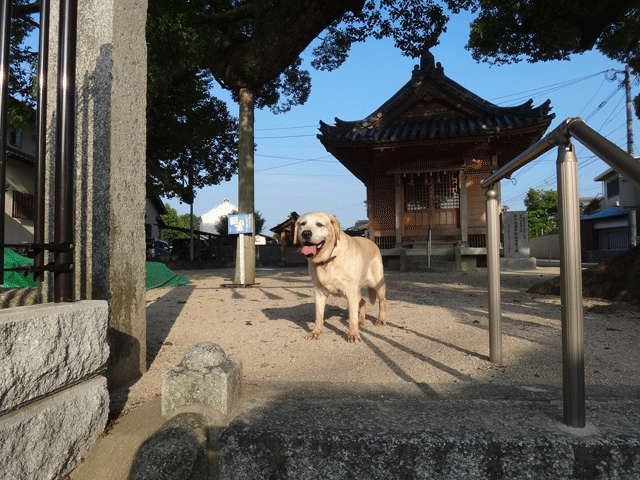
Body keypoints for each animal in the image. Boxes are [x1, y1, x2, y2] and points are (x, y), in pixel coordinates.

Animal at [294, 212, 388, 344]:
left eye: (319, 224)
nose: (306, 233)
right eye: (302, 224)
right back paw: (361, 320)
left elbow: (352, 317)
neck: (328, 260)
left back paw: (381, 319)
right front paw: (316, 332)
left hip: (376, 284)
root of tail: (371, 242)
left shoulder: (350, 292)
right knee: (363, 302)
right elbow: (319, 316)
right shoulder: (319, 292)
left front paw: (353, 334)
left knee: (382, 302)